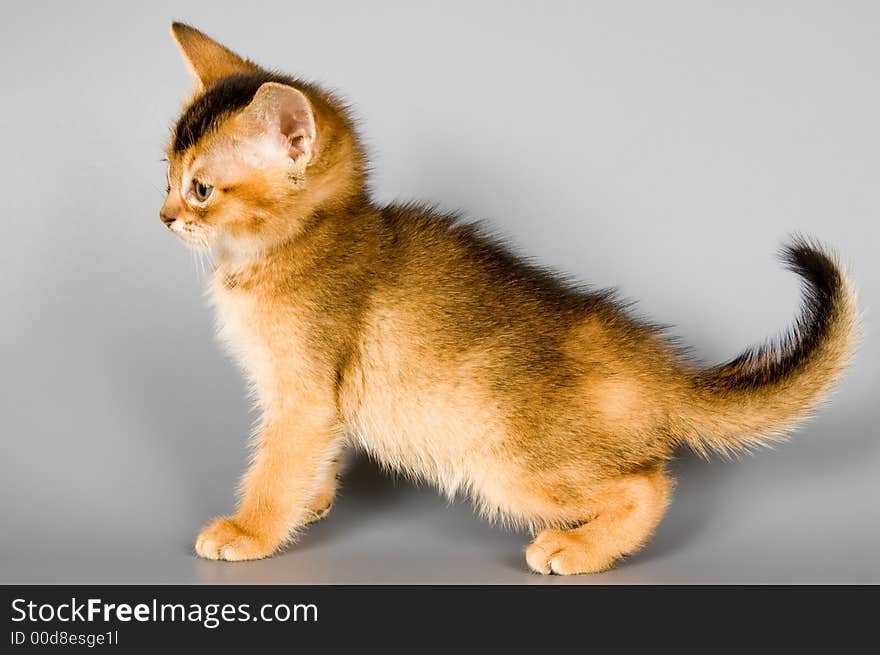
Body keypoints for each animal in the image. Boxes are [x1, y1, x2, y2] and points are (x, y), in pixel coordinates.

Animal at [160, 24, 860, 576]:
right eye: (165, 175)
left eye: (201, 189)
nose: (164, 217)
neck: (297, 241)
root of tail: (660, 370)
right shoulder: (319, 407)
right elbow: (313, 459)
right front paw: (315, 501)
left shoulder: (301, 393)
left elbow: (276, 467)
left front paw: (250, 530)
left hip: (507, 464)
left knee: (646, 484)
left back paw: (576, 550)